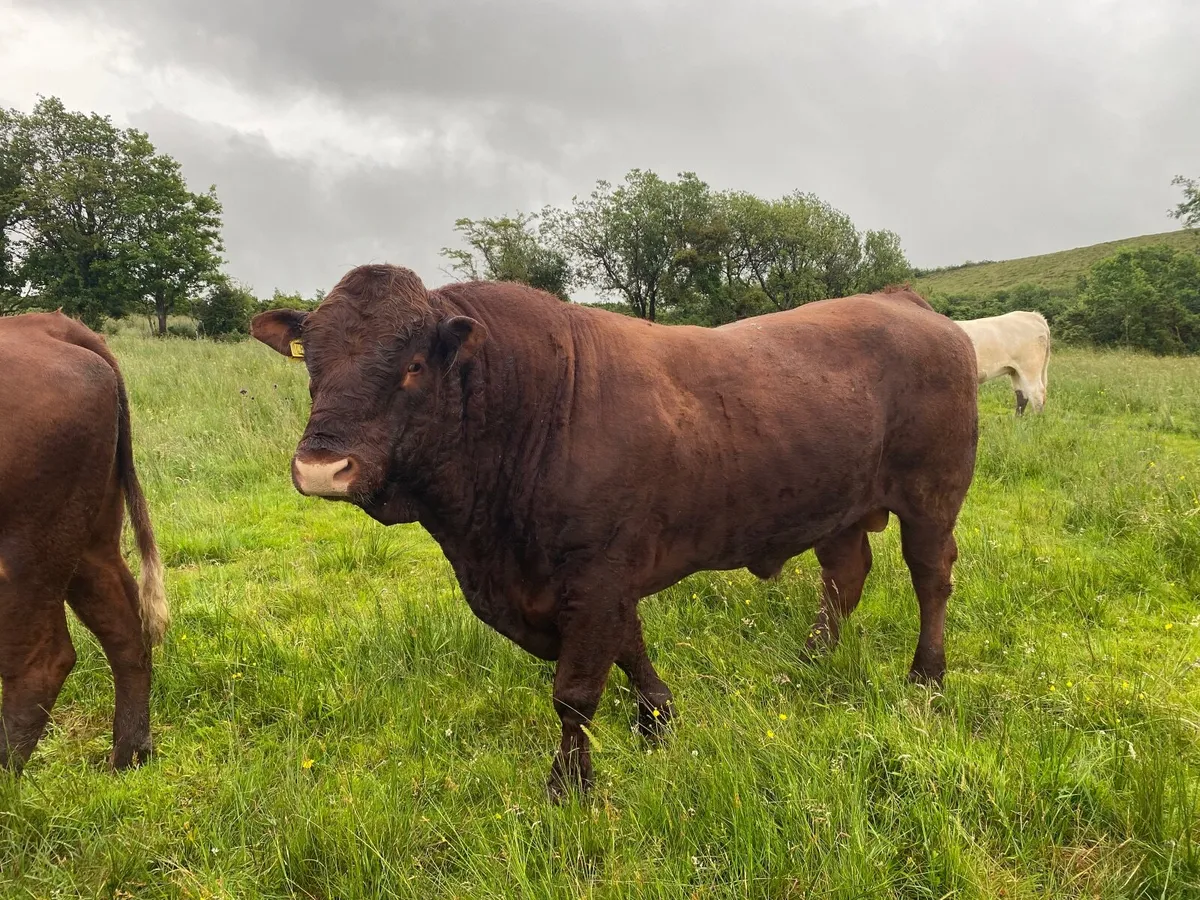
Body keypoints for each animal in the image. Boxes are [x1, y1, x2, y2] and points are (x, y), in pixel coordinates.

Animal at [0, 312, 169, 773]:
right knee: (126, 628)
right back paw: (128, 754)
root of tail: (47, 325)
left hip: (26, 549)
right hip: (90, 537)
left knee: (41, 660)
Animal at [251, 266, 979, 799]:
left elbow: (575, 692)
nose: (321, 467)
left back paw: (926, 677)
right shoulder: (594, 580)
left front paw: (569, 785)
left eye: (412, 365)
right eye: (312, 364)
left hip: (932, 496)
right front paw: (658, 718)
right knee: (844, 576)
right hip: (839, 506)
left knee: (931, 578)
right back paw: (810, 660)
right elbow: (629, 646)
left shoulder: (595, 576)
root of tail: (903, 300)